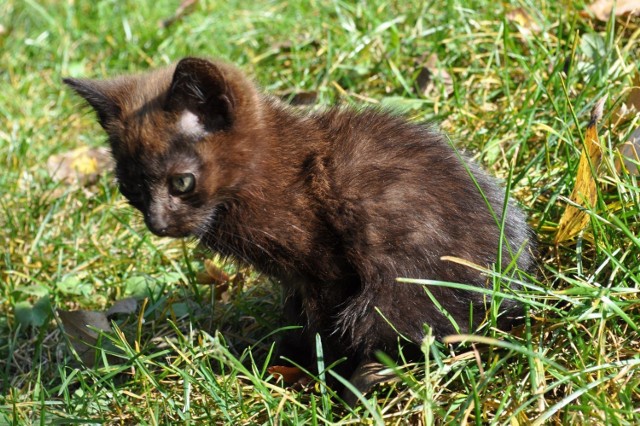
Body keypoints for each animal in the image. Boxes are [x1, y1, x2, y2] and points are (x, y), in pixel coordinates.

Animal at [65, 56, 536, 402]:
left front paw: (319, 375)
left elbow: (324, 324)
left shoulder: (327, 266)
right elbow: (297, 314)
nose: (158, 224)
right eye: (129, 190)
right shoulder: (298, 280)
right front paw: (280, 354)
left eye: (181, 182)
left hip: (397, 285)